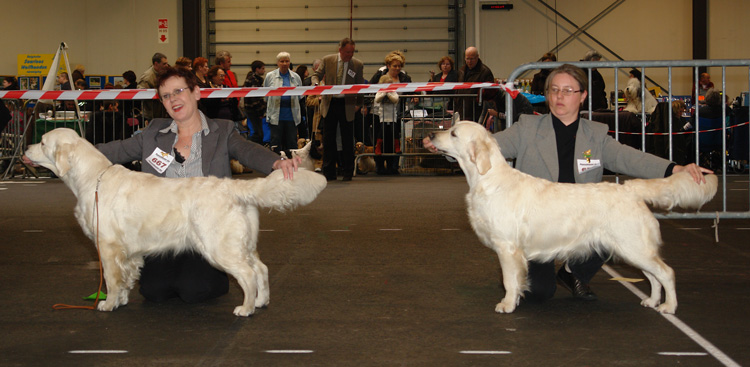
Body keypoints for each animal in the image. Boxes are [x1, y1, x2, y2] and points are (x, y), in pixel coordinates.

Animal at [27, 129, 326, 316]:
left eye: (42, 142)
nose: (27, 149)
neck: (92, 178)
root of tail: (233, 187)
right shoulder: (127, 252)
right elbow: (124, 279)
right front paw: (121, 300)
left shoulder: (108, 246)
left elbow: (111, 280)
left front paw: (108, 304)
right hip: (243, 243)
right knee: (261, 268)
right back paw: (262, 301)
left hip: (218, 247)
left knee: (248, 274)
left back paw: (247, 308)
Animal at [428, 122, 716, 314]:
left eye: (453, 133)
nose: (430, 134)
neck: (487, 179)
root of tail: (630, 188)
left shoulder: (507, 247)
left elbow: (510, 280)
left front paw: (507, 304)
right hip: (631, 249)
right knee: (653, 276)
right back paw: (652, 301)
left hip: (633, 247)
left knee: (666, 273)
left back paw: (669, 306)